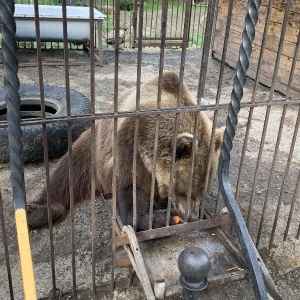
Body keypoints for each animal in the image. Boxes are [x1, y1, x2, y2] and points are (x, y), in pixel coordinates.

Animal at [27, 71, 225, 231]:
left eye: (203, 192)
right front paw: (158, 218)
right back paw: (40, 212)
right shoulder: (129, 143)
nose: (192, 216)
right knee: (68, 172)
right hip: (93, 144)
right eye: (185, 192)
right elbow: (130, 188)